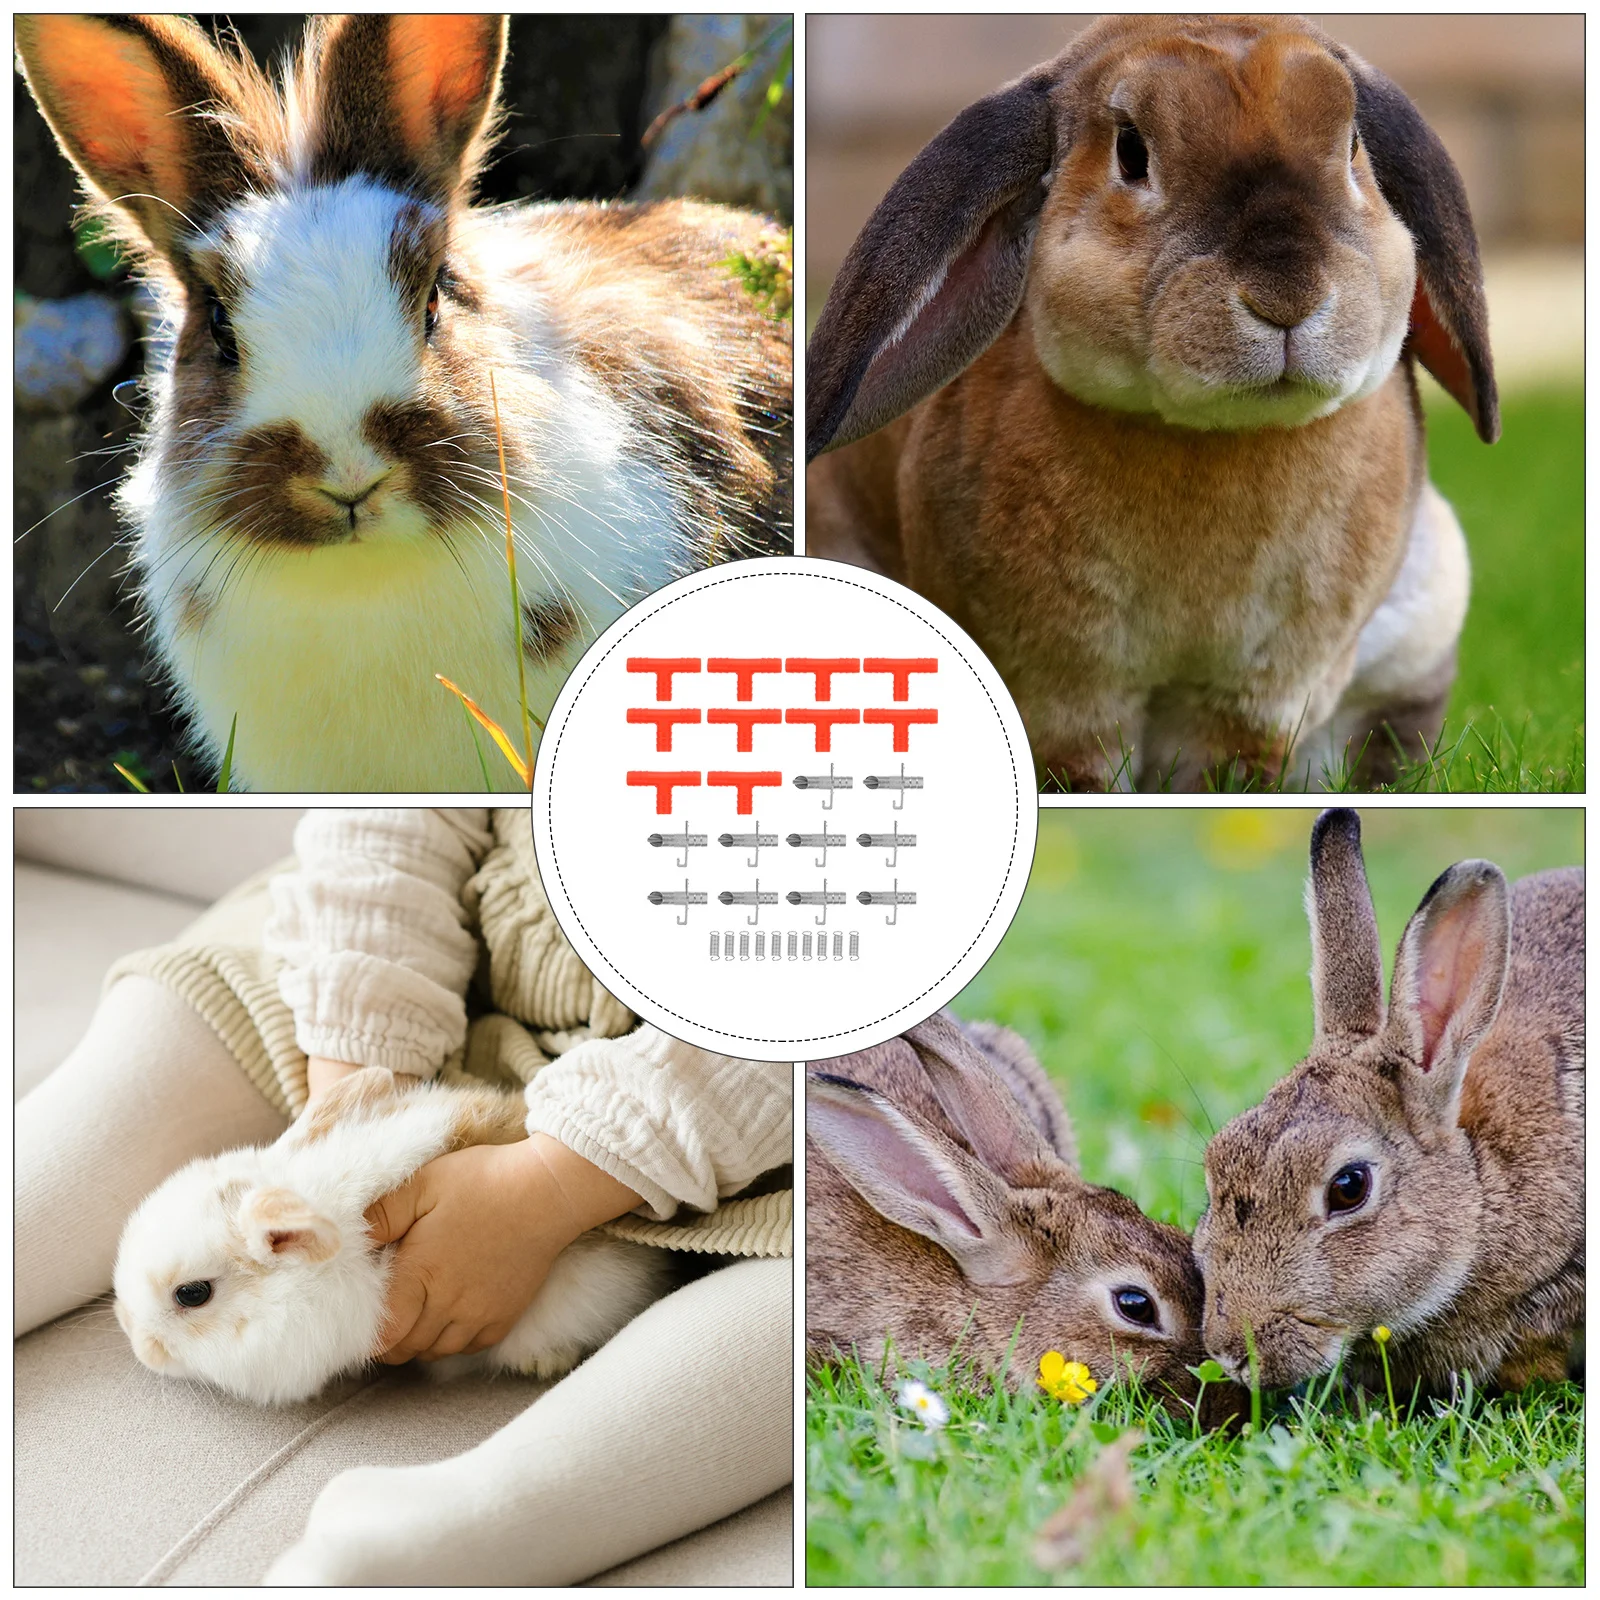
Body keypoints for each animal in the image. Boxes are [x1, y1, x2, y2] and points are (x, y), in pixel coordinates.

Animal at [805, 14, 1495, 792]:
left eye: (1352, 148)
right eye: (1131, 153)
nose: (1286, 296)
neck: (1212, 438)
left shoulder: (1262, 690)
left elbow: (1230, 764)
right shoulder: (1065, 687)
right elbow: (1084, 766)